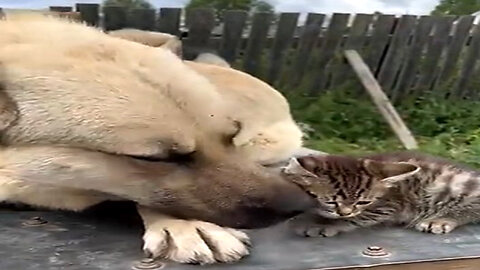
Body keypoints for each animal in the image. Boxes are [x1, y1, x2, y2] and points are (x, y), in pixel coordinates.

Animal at [282, 151, 480, 237]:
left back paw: (440, 220)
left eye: (363, 202)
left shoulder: (389, 205)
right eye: (330, 201)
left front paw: (322, 223)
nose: (345, 212)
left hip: (455, 184)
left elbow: (359, 217)